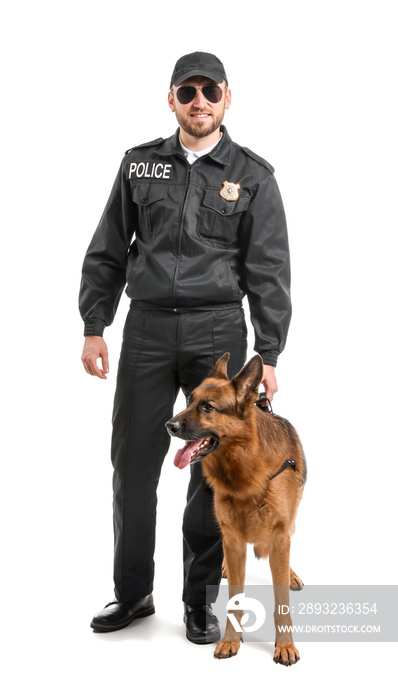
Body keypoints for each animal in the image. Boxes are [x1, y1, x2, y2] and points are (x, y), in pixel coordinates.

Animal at [166, 352, 306, 664]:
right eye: (189, 401)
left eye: (208, 407)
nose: (169, 425)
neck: (245, 467)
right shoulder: (232, 538)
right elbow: (235, 599)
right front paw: (231, 640)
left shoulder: (280, 536)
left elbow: (282, 602)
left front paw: (285, 645)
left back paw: (291, 573)